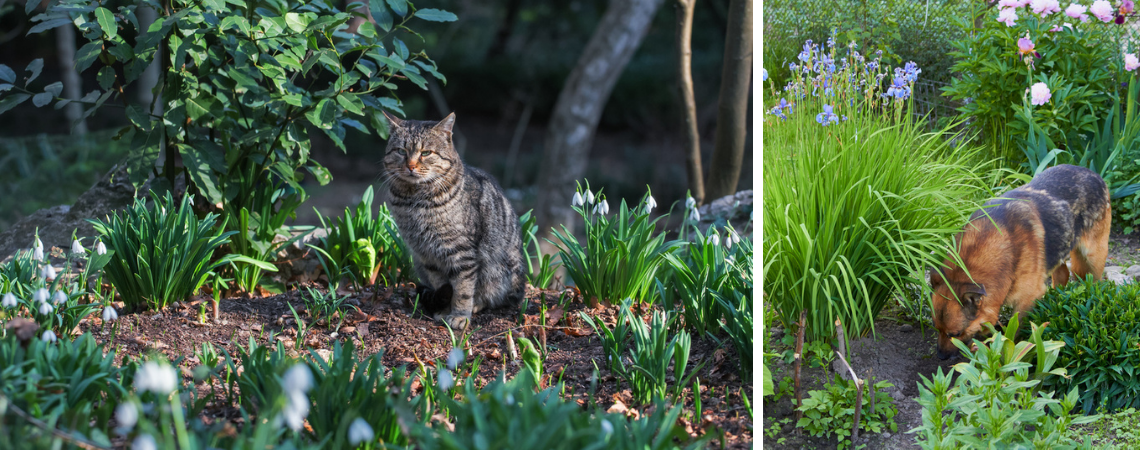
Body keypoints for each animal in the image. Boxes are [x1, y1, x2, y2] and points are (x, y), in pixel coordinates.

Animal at [380, 111, 526, 330]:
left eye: (426, 153)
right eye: (401, 151)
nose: (411, 166)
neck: (414, 201)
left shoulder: (461, 252)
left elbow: (463, 289)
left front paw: (459, 316)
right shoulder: (425, 254)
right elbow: (442, 284)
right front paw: (444, 310)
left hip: (500, 269)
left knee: (497, 297)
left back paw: (477, 304)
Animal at [930, 165, 1108, 360]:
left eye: (954, 334)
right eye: (936, 328)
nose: (940, 356)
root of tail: (1092, 173)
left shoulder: (1028, 298)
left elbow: (1013, 332)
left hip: (1093, 256)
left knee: (1094, 280)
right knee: (1062, 273)